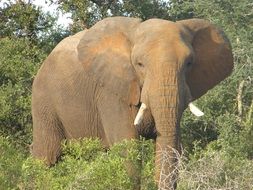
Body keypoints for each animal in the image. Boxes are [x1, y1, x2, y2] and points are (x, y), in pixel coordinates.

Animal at [31, 16, 233, 189]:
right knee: (46, 159)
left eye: (189, 63)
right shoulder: (111, 93)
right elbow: (128, 150)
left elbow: (171, 144)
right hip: (44, 103)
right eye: (139, 64)